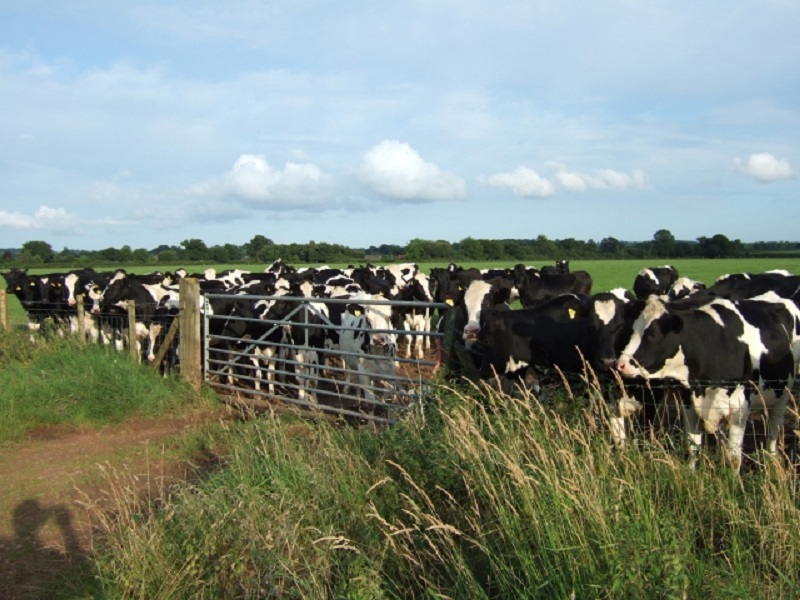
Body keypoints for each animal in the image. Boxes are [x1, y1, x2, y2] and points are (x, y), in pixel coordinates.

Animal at [616, 292, 800, 472]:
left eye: (653, 335)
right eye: (633, 330)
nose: (620, 364)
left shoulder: (739, 407)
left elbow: (734, 458)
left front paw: (732, 479)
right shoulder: (689, 403)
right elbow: (693, 447)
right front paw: (691, 474)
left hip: (782, 396)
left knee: (774, 428)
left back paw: (772, 459)